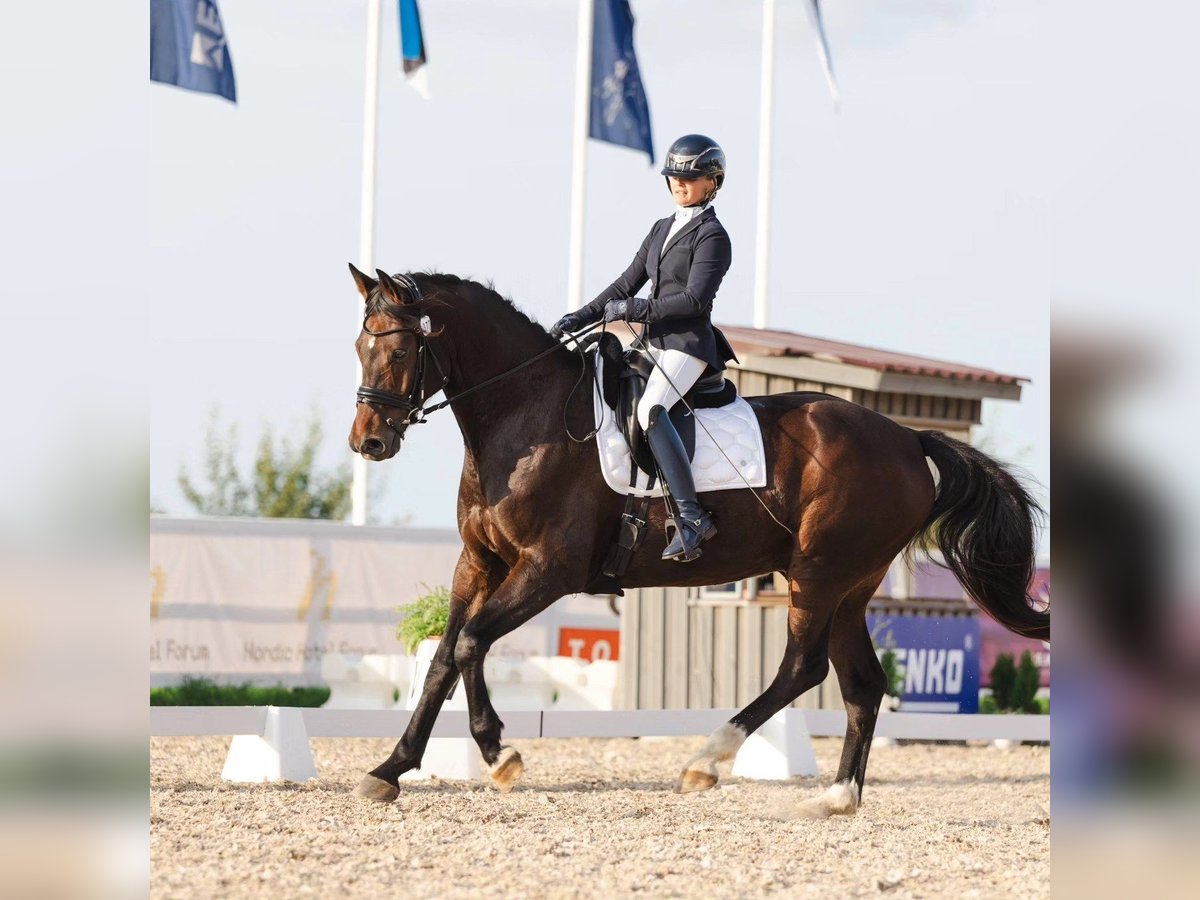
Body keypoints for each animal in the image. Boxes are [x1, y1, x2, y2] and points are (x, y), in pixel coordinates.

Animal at [343, 262, 1046, 816]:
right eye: (359, 347)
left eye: (400, 352)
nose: (368, 442)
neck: (526, 416)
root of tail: (907, 438)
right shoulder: (479, 562)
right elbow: (442, 660)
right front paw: (389, 771)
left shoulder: (548, 569)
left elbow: (470, 643)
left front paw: (500, 753)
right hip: (851, 585)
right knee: (862, 684)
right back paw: (836, 797)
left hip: (817, 573)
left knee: (803, 666)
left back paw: (707, 760)